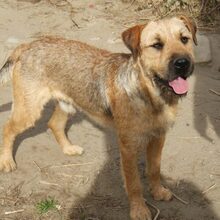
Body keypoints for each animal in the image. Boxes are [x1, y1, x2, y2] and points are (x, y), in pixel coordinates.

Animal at [0, 15, 196, 220]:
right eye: (157, 45)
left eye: (184, 39)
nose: (182, 63)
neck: (149, 94)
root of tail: (27, 45)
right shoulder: (128, 147)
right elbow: (134, 183)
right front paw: (139, 209)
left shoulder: (158, 138)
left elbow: (154, 170)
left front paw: (158, 191)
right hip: (29, 110)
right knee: (8, 128)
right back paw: (6, 161)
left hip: (67, 104)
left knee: (54, 124)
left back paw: (69, 149)